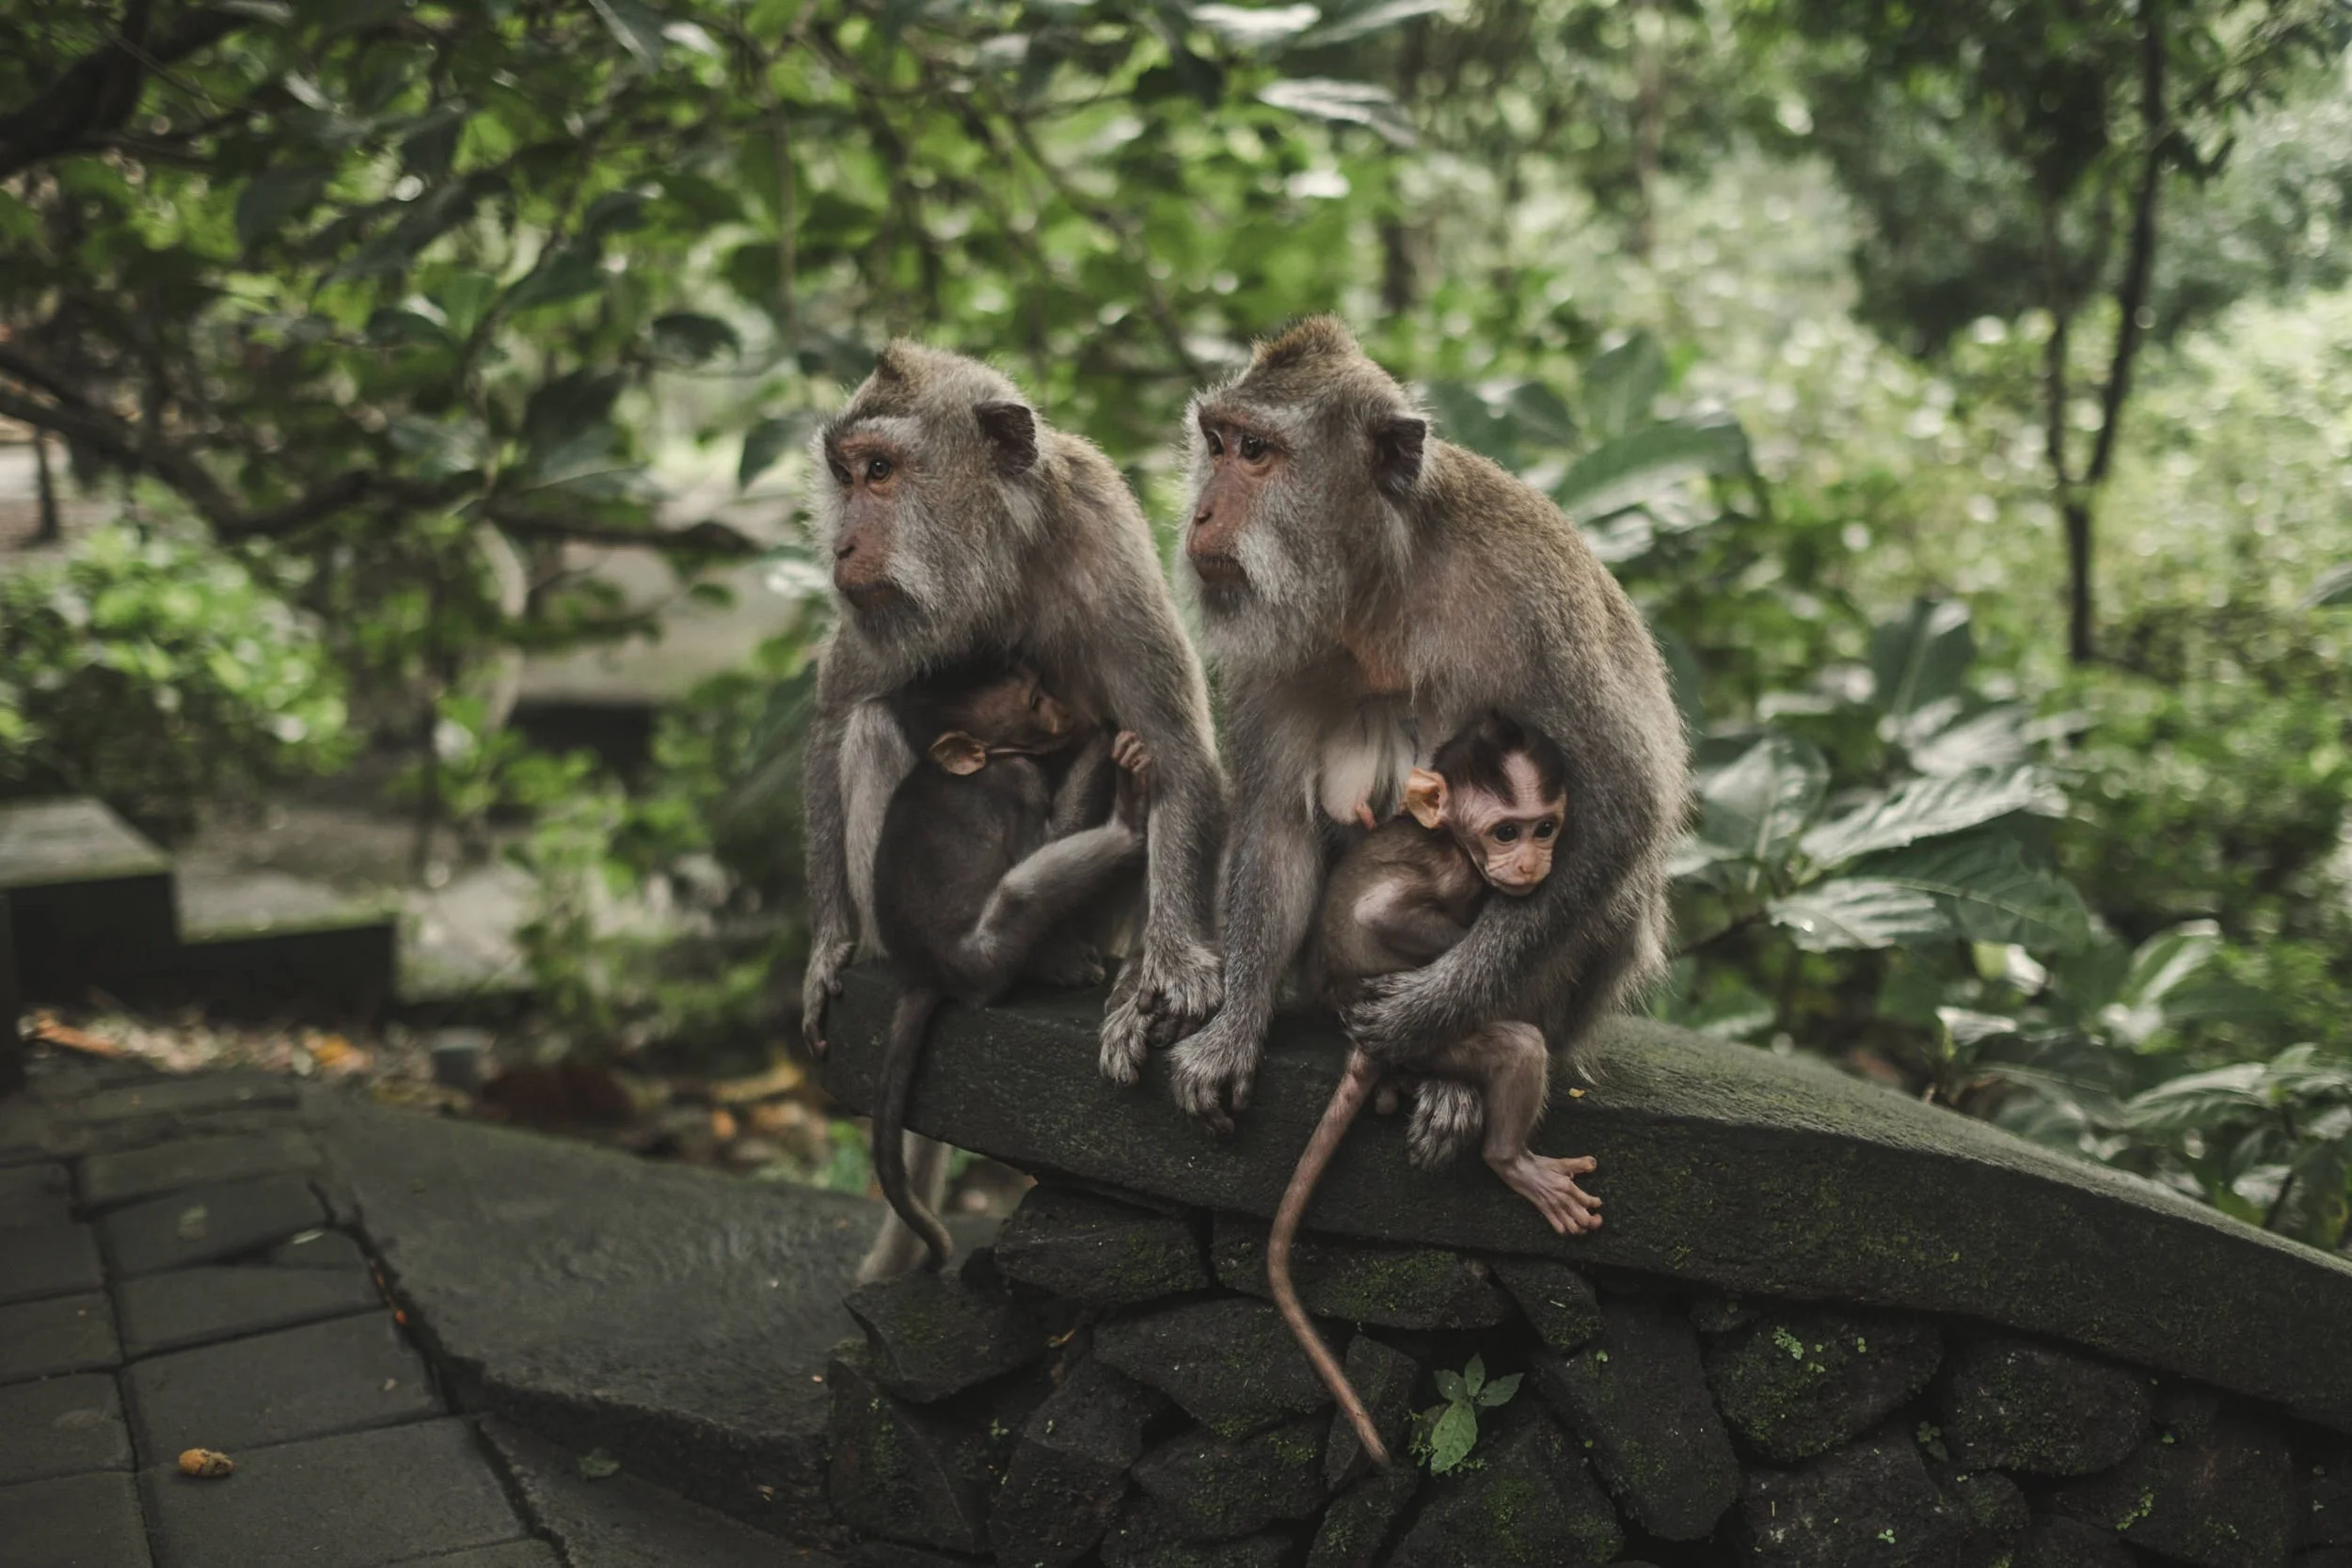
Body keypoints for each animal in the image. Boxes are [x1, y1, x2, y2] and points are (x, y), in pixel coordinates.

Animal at [798, 343, 1227, 1092]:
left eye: (879, 470)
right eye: (844, 475)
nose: (842, 548)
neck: (994, 555)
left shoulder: (1103, 534)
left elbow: (1171, 746)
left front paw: (1167, 972)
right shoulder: (882, 608)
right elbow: (835, 718)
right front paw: (828, 944)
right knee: (872, 726)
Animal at [861, 655, 1153, 1281]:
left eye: (1040, 685)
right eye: (1036, 702)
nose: (1073, 711)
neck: (981, 760)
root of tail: (923, 973)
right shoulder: (1017, 778)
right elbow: (1039, 842)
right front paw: (1101, 739)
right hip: (981, 956)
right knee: (1021, 890)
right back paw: (1127, 823)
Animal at [1164, 316, 1688, 1173]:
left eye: (1257, 452)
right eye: (1215, 443)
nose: (1201, 516)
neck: (1381, 590)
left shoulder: (1530, 602)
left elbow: (1621, 808)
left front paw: (1423, 1014)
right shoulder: (1271, 648)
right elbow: (1275, 827)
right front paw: (1233, 1030)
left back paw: (1456, 1077)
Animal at [1270, 713, 1602, 1470]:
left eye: (1546, 828)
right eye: (1507, 832)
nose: (1531, 863)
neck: (1454, 841)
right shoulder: (1452, 869)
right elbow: (1382, 915)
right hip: (1431, 1036)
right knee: (1515, 1045)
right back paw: (1510, 1158)